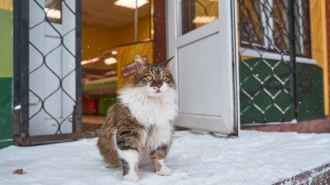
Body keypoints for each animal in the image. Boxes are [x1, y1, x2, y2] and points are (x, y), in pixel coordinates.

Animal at [96, 53, 178, 182]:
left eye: (164, 78)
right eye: (149, 77)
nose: (159, 85)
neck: (153, 103)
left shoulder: (161, 133)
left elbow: (159, 155)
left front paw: (161, 170)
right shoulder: (129, 134)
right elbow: (130, 159)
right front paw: (130, 176)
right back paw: (110, 164)